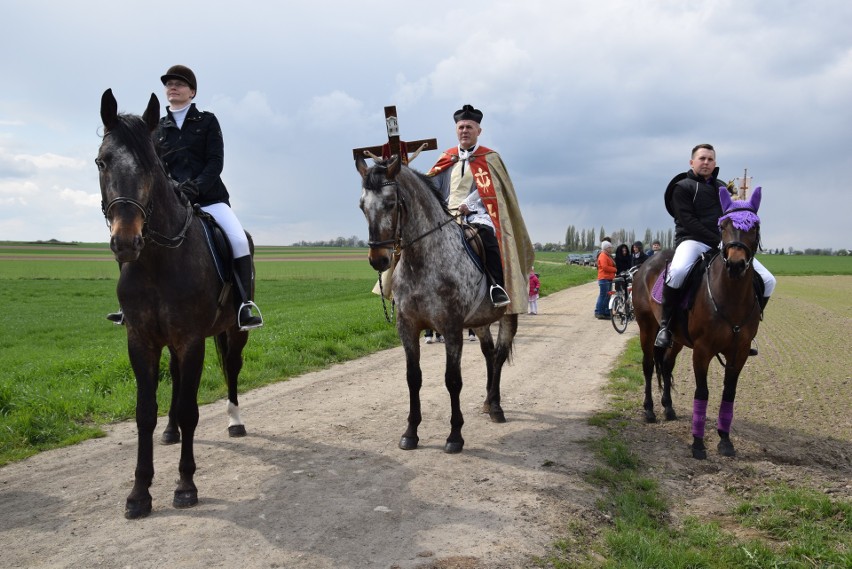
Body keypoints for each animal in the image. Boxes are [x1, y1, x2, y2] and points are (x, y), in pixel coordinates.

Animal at [98, 90, 250, 520]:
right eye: (102, 161)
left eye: (151, 164)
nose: (126, 241)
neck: (156, 261)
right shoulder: (141, 341)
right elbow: (144, 412)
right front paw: (139, 493)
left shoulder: (192, 340)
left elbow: (190, 409)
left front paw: (185, 486)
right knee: (177, 378)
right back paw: (170, 432)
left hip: (234, 332)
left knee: (232, 369)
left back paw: (235, 421)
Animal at [354, 155, 516, 452]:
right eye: (362, 206)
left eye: (391, 203)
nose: (378, 260)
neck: (424, 260)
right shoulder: (407, 326)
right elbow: (413, 378)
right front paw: (410, 432)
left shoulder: (451, 328)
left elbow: (452, 380)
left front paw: (455, 436)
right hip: (480, 321)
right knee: (489, 354)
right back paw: (488, 402)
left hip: (509, 314)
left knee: (499, 355)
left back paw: (497, 408)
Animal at [632, 186, 764, 458]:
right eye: (723, 225)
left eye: (754, 226)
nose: (736, 265)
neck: (731, 295)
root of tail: (646, 263)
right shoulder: (702, 350)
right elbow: (702, 392)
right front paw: (698, 444)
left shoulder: (740, 351)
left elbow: (729, 392)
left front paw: (725, 441)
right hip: (647, 328)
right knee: (649, 365)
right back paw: (649, 410)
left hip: (676, 338)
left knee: (666, 365)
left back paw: (668, 408)